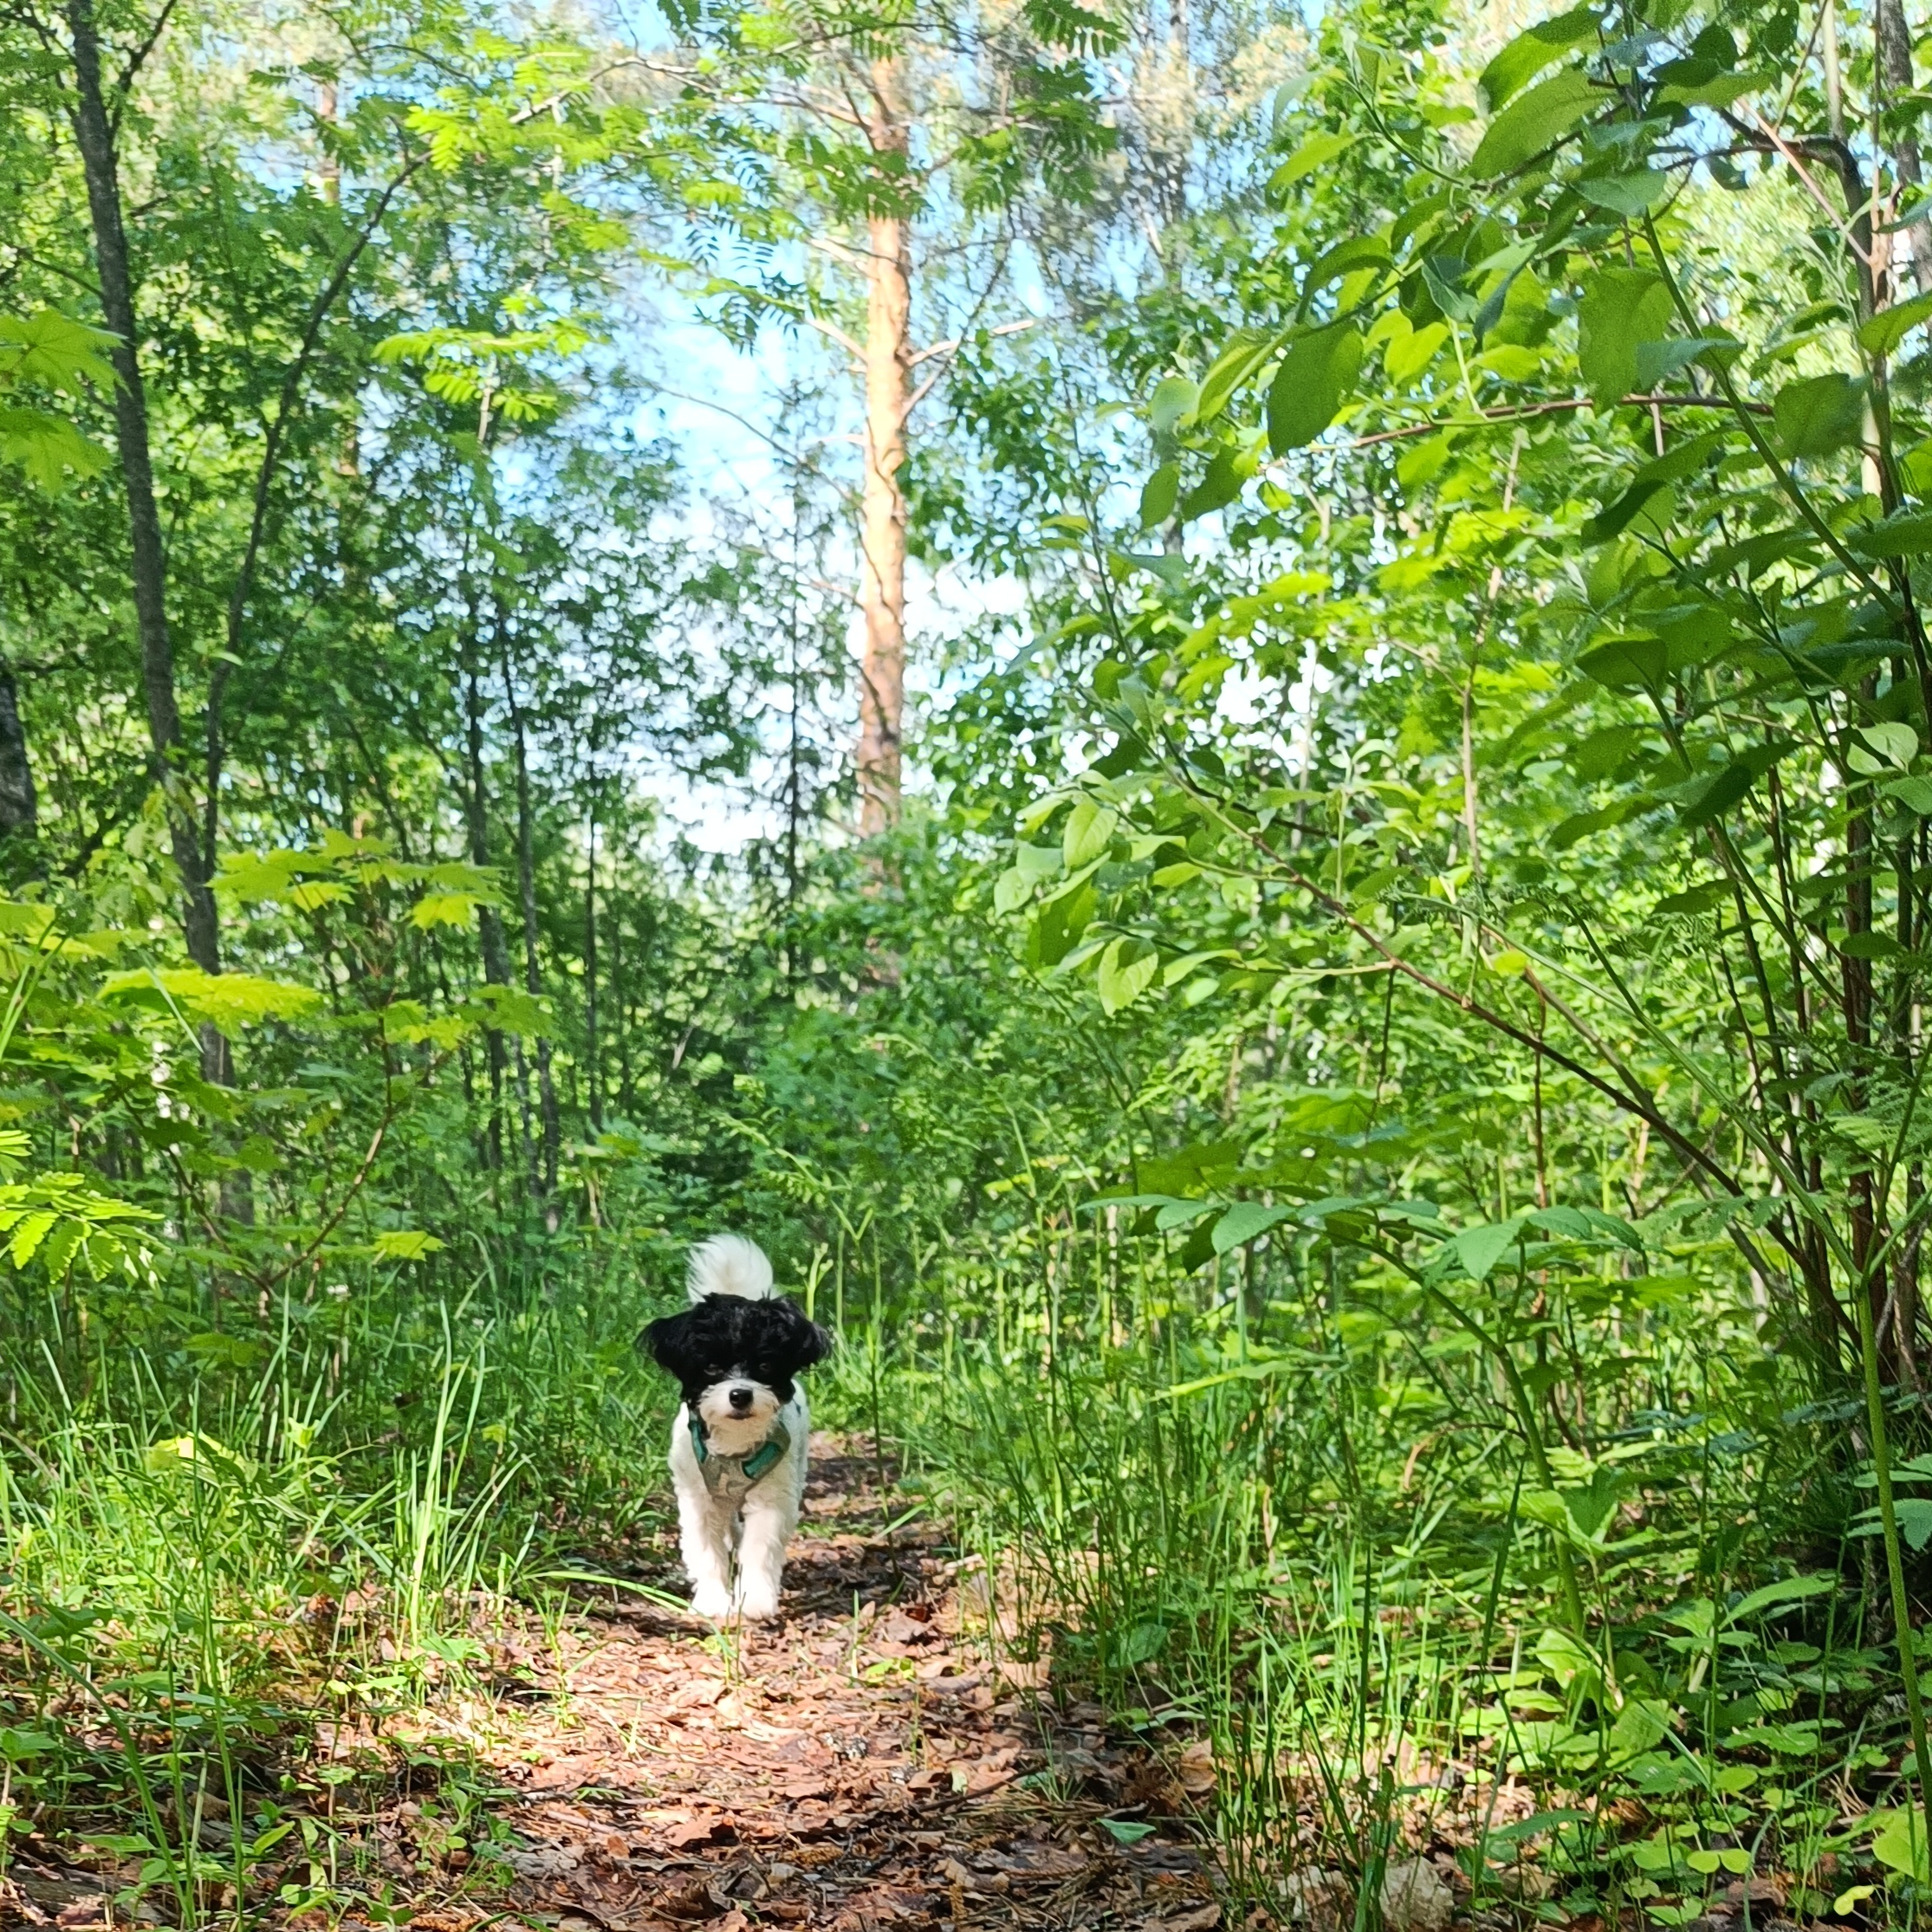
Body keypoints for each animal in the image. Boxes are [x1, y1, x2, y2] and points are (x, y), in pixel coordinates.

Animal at [640, 1235, 832, 1623]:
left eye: (765, 1365)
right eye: (712, 1367)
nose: (740, 1394)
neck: (733, 1445)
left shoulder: (772, 1497)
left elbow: (759, 1547)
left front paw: (755, 1599)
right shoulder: (697, 1498)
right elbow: (705, 1549)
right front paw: (714, 1600)